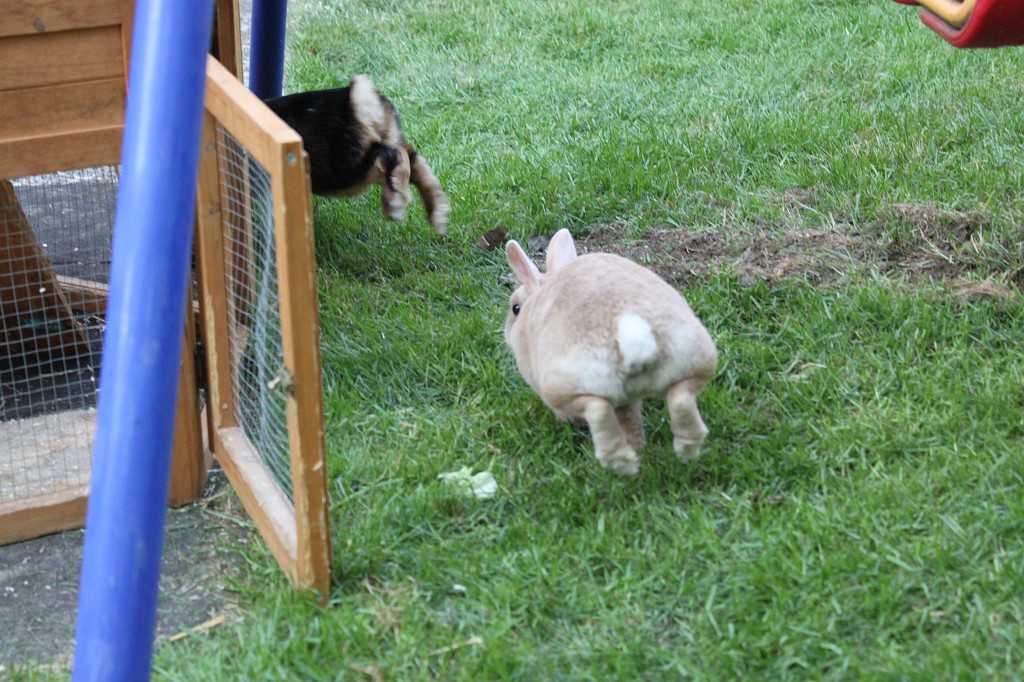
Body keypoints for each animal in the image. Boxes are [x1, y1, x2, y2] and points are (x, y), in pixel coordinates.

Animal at [264, 76, 450, 232]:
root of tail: (356, 99)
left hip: (342, 170)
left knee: (391, 155)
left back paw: (394, 203)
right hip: (387, 139)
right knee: (413, 160)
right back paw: (437, 212)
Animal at [503, 228, 718, 476]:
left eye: (515, 309)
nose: (507, 332)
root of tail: (628, 333)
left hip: (565, 387)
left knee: (598, 410)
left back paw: (621, 465)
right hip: (696, 361)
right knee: (680, 399)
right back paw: (685, 450)